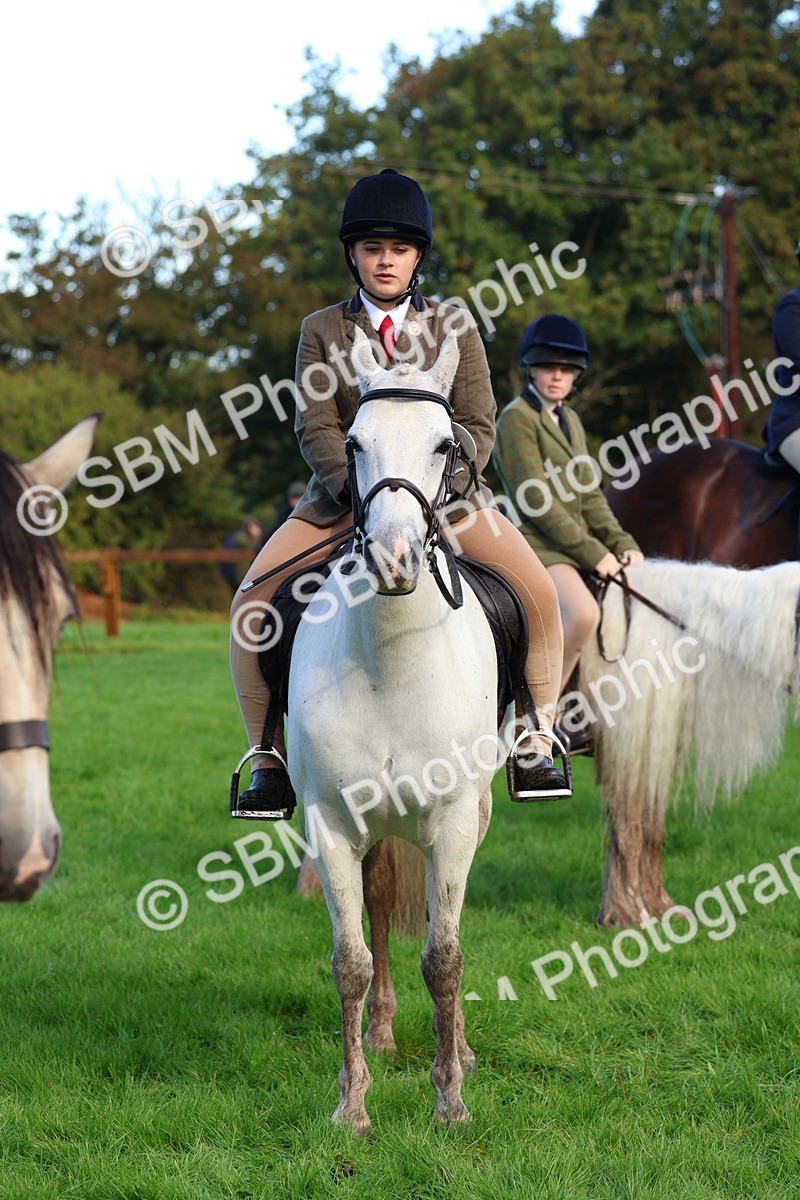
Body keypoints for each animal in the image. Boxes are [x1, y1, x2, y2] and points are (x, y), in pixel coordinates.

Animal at [286, 327, 501, 1134]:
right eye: (353, 442)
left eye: (446, 445)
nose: (396, 558)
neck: (390, 666)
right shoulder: (331, 825)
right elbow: (351, 962)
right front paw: (351, 1105)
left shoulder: (452, 821)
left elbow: (445, 958)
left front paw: (450, 1099)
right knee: (379, 910)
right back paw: (380, 1033)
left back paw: (458, 1048)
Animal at [570, 557, 800, 928]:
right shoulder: (628, 751)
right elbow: (629, 831)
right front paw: (631, 914)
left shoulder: (653, 753)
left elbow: (651, 830)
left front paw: (657, 908)